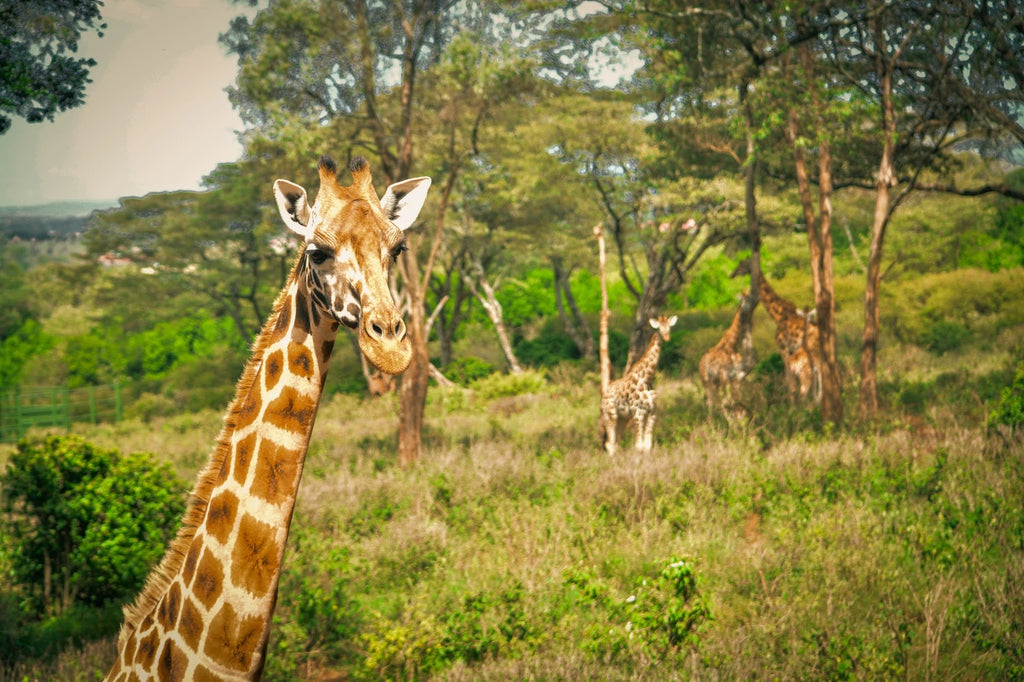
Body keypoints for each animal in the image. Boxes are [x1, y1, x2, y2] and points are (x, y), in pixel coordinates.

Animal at [599, 314, 677, 456]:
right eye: (659, 328)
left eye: (669, 327)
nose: (667, 337)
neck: (646, 378)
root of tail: (604, 394)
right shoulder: (637, 413)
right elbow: (638, 447)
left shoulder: (652, 412)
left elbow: (647, 446)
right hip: (611, 415)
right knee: (609, 444)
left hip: (622, 418)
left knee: (615, 443)